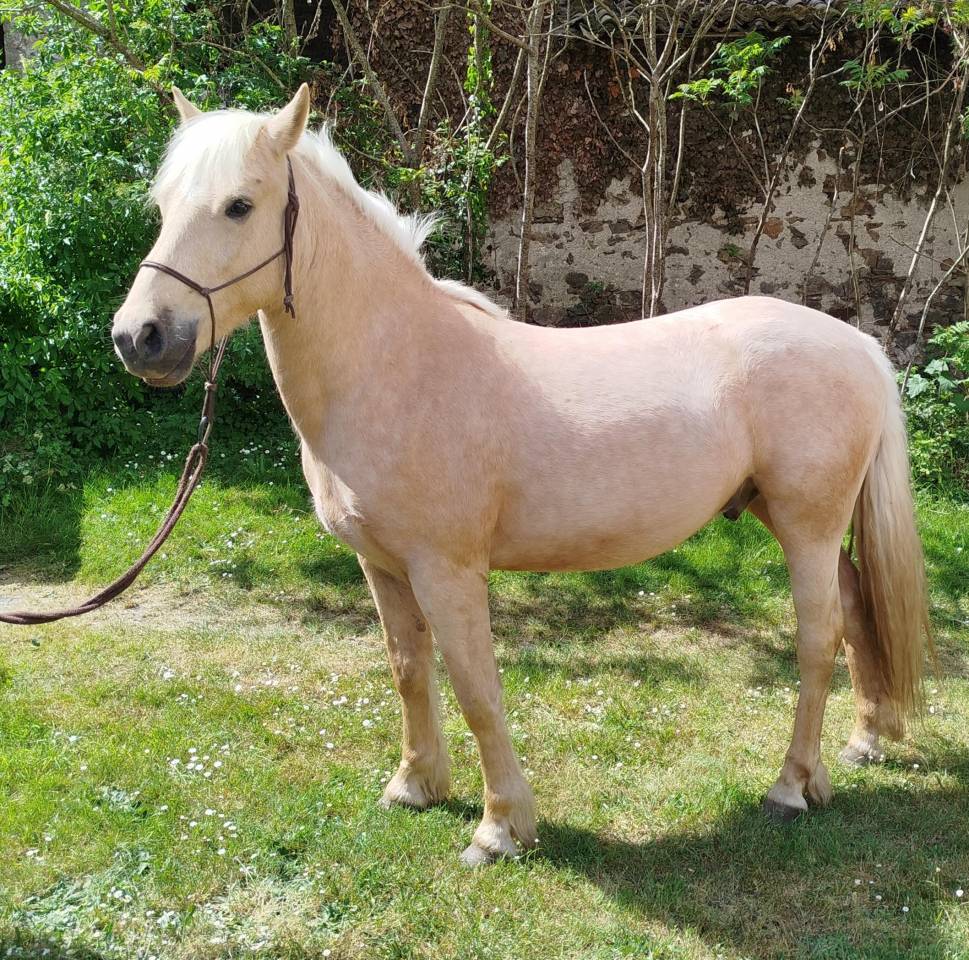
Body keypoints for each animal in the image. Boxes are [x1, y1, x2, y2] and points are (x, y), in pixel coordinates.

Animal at [111, 84, 932, 866]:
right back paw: (865, 741)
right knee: (857, 608)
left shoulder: (446, 571)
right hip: (792, 519)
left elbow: (477, 690)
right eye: (162, 205)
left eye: (239, 205)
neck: (395, 366)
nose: (140, 337)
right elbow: (409, 670)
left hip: (806, 527)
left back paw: (791, 788)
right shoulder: (381, 565)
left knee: (818, 637)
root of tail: (857, 344)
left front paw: (499, 828)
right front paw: (414, 785)